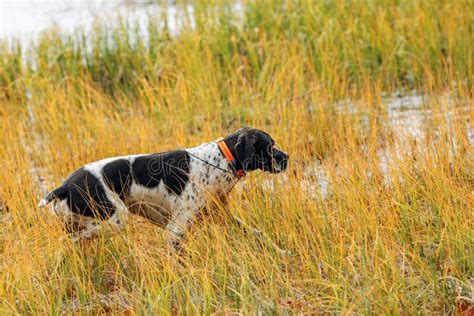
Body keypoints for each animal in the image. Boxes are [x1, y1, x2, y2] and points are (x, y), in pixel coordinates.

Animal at [38, 127, 288, 251]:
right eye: (271, 146)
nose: (287, 158)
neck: (218, 161)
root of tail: (65, 186)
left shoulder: (222, 216)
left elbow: (258, 234)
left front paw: (280, 251)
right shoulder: (175, 231)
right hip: (116, 219)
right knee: (74, 239)